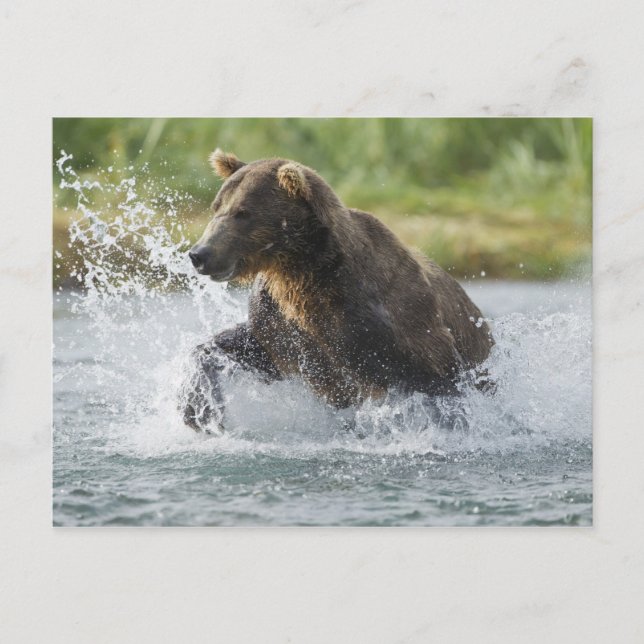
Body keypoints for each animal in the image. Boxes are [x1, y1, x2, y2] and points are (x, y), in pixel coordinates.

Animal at [180, 149, 494, 432]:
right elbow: (246, 347)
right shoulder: (282, 324)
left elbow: (437, 379)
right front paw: (200, 409)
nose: (200, 254)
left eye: (243, 213)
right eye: (216, 206)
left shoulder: (390, 324)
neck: (303, 272)